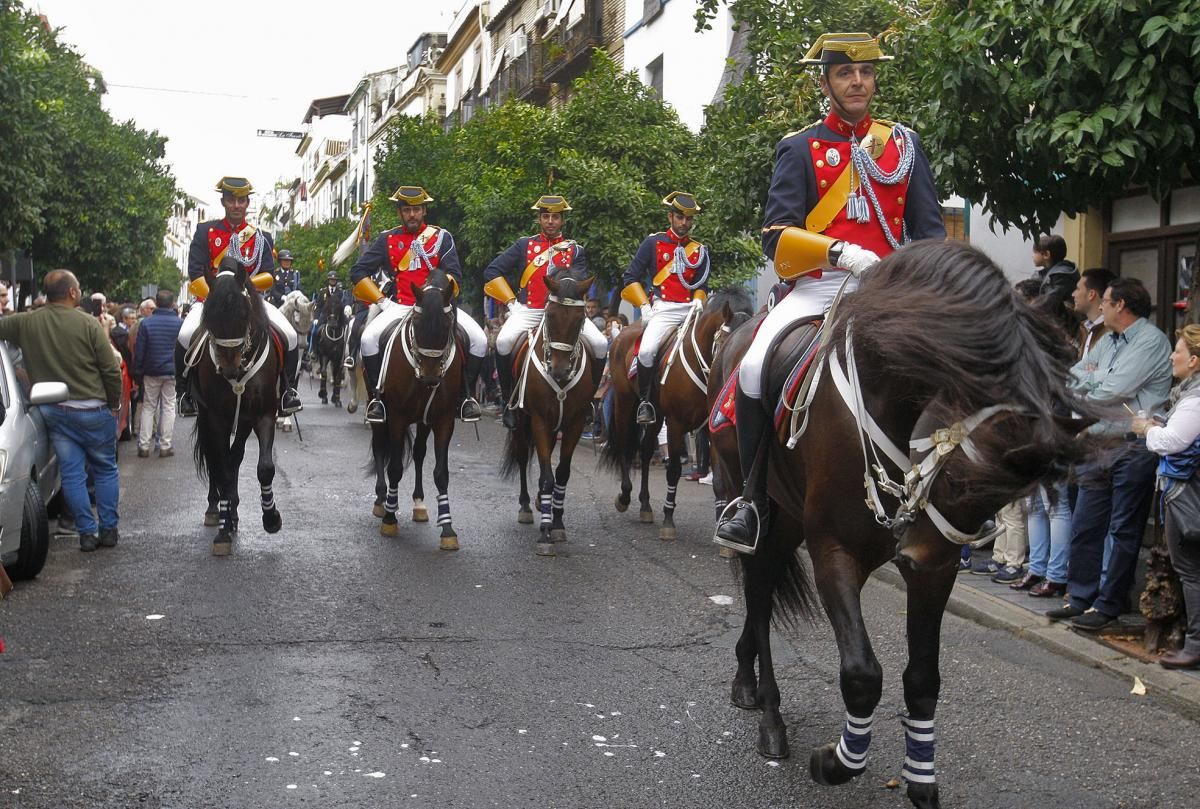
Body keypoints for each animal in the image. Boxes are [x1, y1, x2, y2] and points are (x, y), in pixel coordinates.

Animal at [192, 255, 285, 552]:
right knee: (218, 460)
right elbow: (220, 467)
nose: (230, 369)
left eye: (244, 313)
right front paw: (223, 529)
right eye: (208, 314)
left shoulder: (263, 414)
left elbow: (264, 468)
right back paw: (219, 510)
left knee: (235, 458)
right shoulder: (215, 418)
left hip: (243, 421)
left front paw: (271, 517)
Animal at [372, 268, 465, 547]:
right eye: (416, 322)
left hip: (424, 421)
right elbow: (394, 467)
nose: (430, 377)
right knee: (379, 447)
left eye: (447, 324)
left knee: (420, 452)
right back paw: (381, 500)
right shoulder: (397, 416)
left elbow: (441, 473)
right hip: (381, 413)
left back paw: (419, 503)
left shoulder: (444, 420)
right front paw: (389, 519)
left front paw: (447, 528)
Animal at [501, 271, 600, 554]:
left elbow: (562, 475)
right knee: (523, 457)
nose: (559, 370)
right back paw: (526, 505)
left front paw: (557, 524)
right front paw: (545, 532)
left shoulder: (574, 424)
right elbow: (546, 476)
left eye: (580, 319)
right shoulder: (539, 421)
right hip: (522, 424)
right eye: (551, 314)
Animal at [604, 288, 753, 535]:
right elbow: (672, 469)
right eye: (727, 342)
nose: (738, 384)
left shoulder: (712, 429)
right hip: (625, 403)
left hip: (655, 415)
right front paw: (668, 518)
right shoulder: (676, 424)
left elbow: (720, 479)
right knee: (626, 446)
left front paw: (722, 522)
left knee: (645, 451)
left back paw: (645, 505)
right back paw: (625, 496)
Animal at [705, 240, 1094, 806]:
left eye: (1010, 495)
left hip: (791, 520)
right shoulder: (834, 551)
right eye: (961, 478)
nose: (915, 549)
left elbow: (924, 678)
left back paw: (746, 679)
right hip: (753, 503)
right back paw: (770, 717)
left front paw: (921, 780)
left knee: (766, 590)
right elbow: (863, 674)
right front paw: (837, 762)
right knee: (757, 596)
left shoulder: (934, 570)